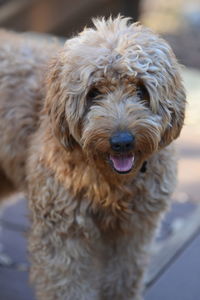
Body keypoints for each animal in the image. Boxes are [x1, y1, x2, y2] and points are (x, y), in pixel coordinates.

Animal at [0, 17, 186, 300]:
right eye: (94, 92)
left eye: (141, 90)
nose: (122, 141)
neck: (111, 184)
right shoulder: (63, 231)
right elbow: (67, 286)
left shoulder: (134, 231)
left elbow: (123, 279)